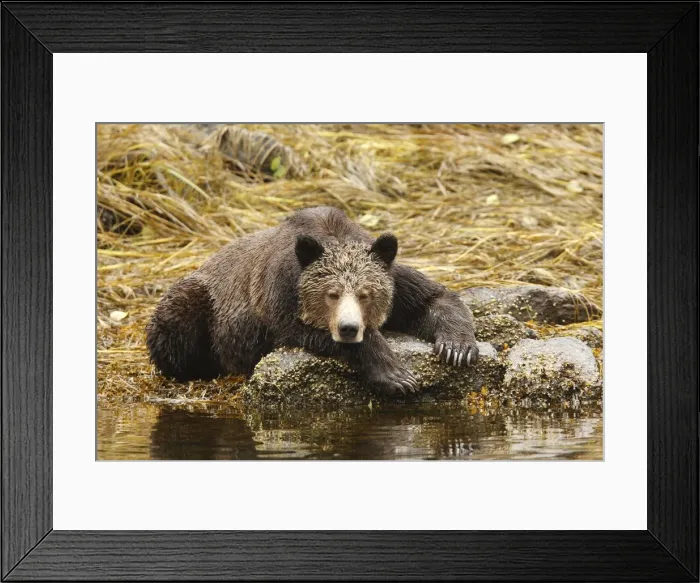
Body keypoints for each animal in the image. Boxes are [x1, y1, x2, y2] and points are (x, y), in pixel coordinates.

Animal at [146, 206, 478, 395]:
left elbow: (432, 297)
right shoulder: (280, 294)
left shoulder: (394, 279)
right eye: (331, 294)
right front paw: (397, 377)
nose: (348, 328)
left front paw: (457, 348)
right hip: (204, 303)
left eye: (365, 294)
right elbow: (294, 329)